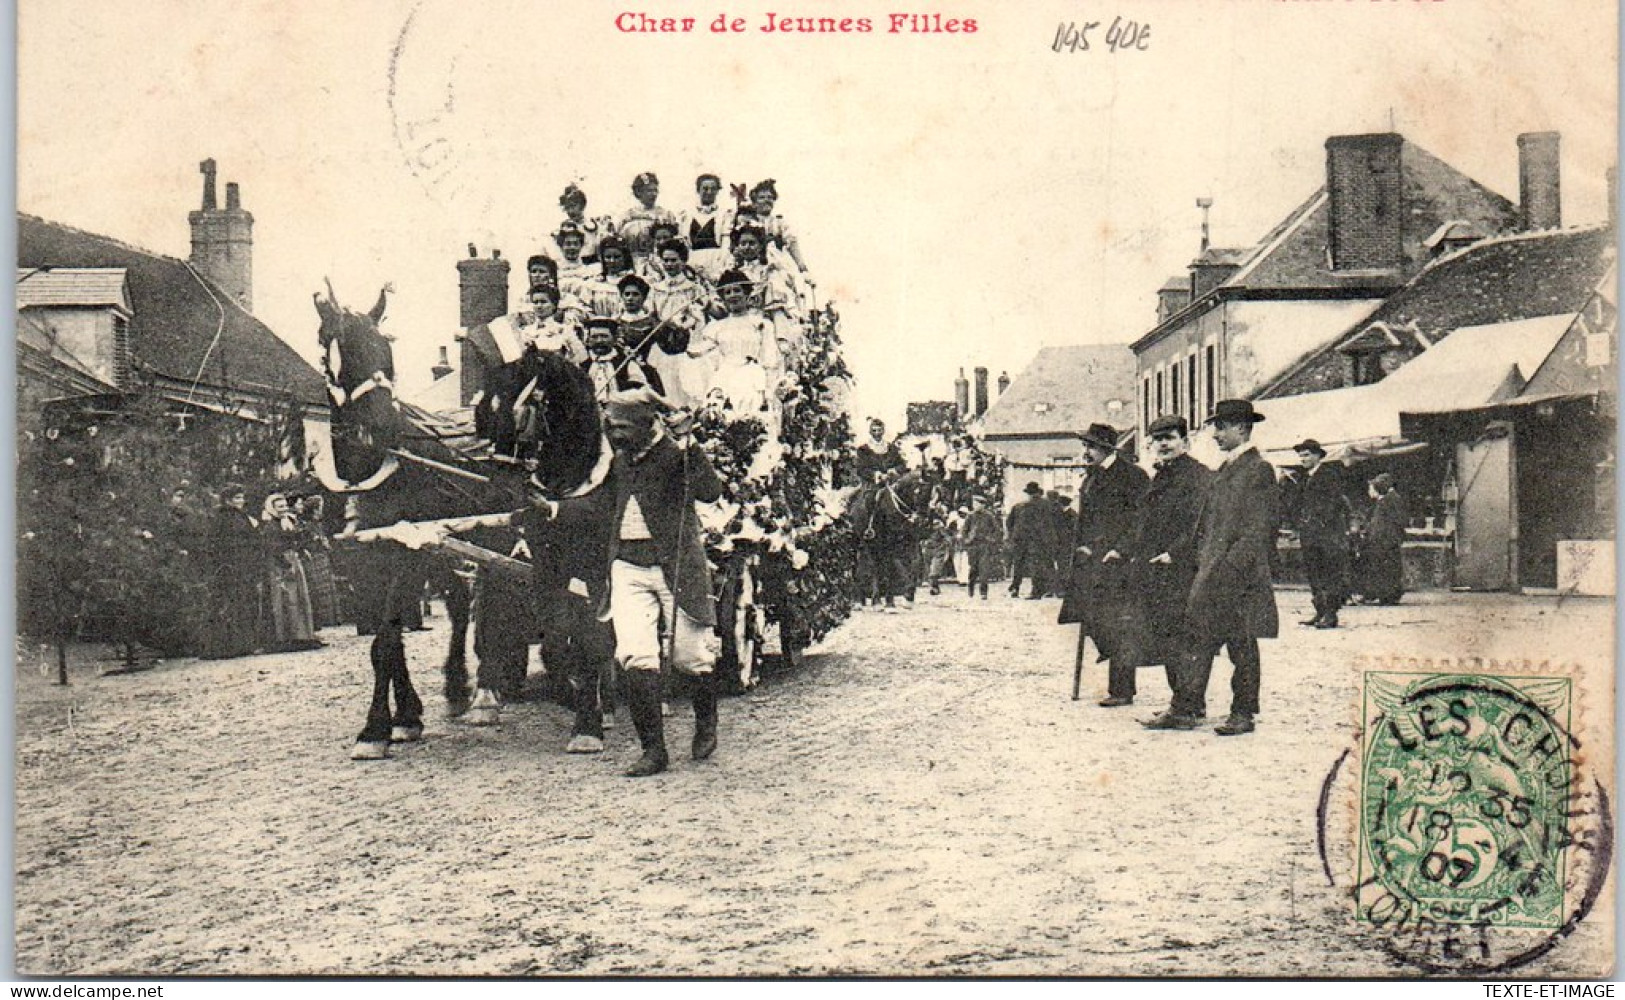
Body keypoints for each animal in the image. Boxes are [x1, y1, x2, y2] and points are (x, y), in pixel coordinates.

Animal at [310, 287, 604, 757]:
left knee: (499, 604)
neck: (366, 473)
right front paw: (403, 717)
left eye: (385, 350)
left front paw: (376, 729)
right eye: (344, 352)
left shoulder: (406, 556)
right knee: (469, 602)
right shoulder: (360, 562)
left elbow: (386, 639)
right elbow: (386, 643)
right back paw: (465, 688)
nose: (382, 423)